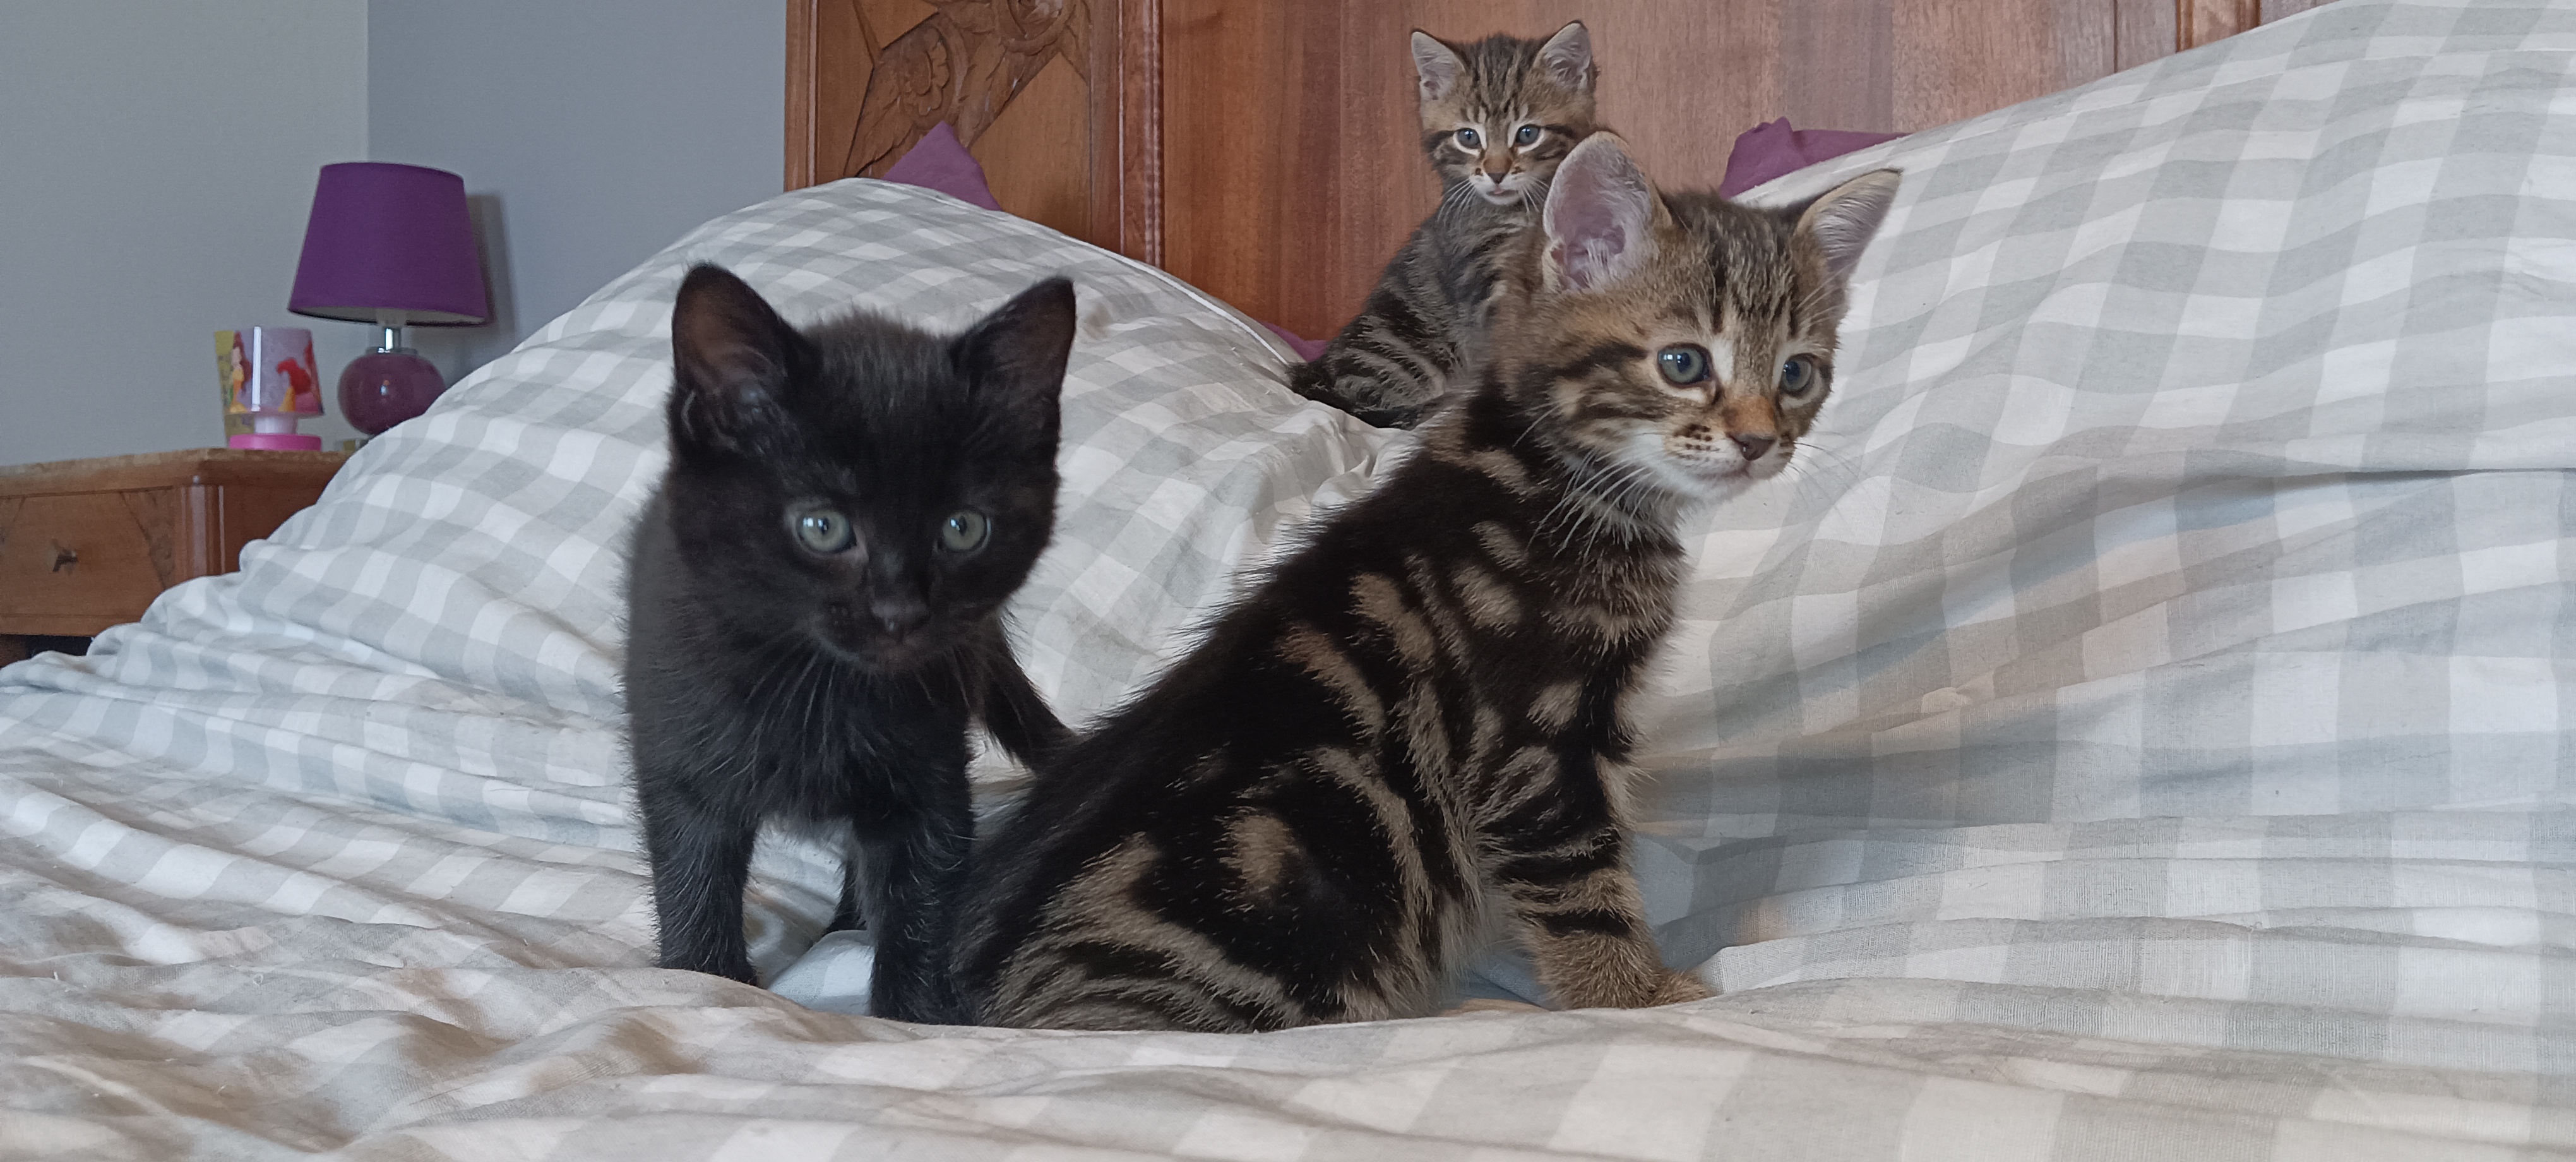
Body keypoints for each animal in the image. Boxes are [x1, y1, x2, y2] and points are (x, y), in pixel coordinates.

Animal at [625, 264, 1075, 1025]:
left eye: (962, 528)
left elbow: (922, 898)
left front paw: (913, 1015)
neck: (823, 686)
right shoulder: (682, 756)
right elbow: (693, 876)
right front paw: (704, 978)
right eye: (822, 527)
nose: (900, 612)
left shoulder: (929, 774)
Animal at [952, 134, 1904, 1032]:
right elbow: (1585, 896)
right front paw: (1636, 998)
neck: (1547, 478)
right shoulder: (1538, 748)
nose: (1758, 441)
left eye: (1797, 374)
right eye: (1682, 363)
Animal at [1288, 21, 1601, 430]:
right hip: (1404, 346)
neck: (1525, 211)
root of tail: (1320, 371)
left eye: (1528, 134)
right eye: (1468, 137)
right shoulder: (1484, 284)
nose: (1496, 173)